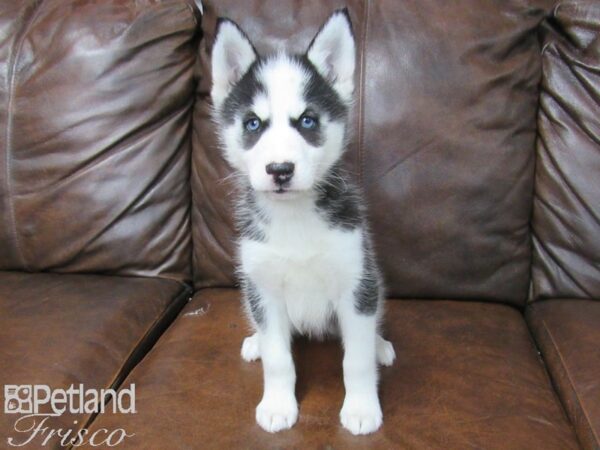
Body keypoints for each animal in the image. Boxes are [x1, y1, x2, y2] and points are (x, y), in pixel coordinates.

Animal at [210, 7, 394, 436]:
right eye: (253, 124)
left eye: (307, 121)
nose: (280, 170)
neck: (293, 218)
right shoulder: (264, 288)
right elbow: (280, 358)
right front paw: (278, 404)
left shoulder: (355, 281)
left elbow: (355, 360)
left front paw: (362, 407)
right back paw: (256, 342)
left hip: (371, 282)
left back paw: (379, 344)